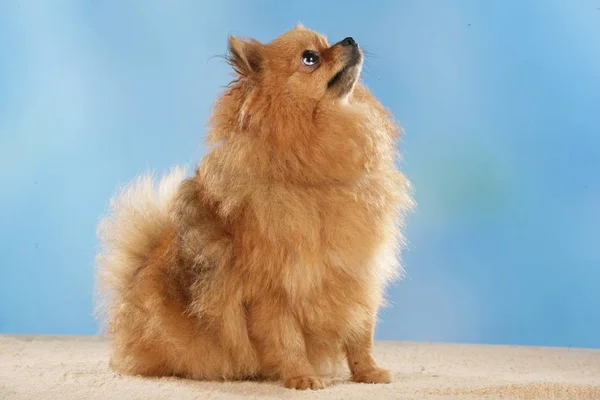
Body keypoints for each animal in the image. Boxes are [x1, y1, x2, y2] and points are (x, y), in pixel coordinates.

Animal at [95, 25, 412, 390]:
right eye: (310, 58)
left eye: (326, 40)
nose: (350, 40)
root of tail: (130, 284)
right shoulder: (273, 291)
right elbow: (288, 339)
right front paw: (301, 377)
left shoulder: (357, 275)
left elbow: (361, 334)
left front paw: (368, 373)